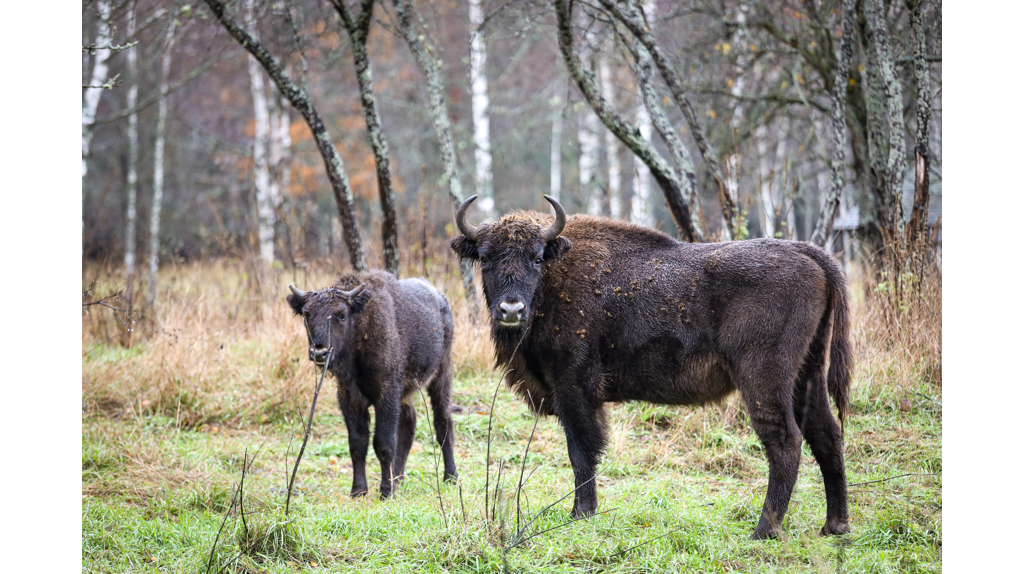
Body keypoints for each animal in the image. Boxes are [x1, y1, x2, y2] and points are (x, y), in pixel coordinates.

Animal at [282, 270, 454, 499]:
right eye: (307, 314)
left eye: (341, 314)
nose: (319, 352)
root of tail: (442, 299)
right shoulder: (349, 396)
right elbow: (357, 444)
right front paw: (358, 490)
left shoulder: (387, 393)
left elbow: (383, 443)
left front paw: (385, 492)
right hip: (407, 392)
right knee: (409, 424)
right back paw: (398, 478)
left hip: (442, 373)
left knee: (443, 421)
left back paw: (450, 477)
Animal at [452, 194, 851, 540]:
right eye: (484, 258)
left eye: (536, 258)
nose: (511, 309)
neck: (554, 275)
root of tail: (810, 254)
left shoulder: (573, 388)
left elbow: (581, 450)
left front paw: (581, 513)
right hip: (807, 375)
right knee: (827, 434)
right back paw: (835, 526)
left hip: (764, 379)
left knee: (785, 440)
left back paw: (763, 531)